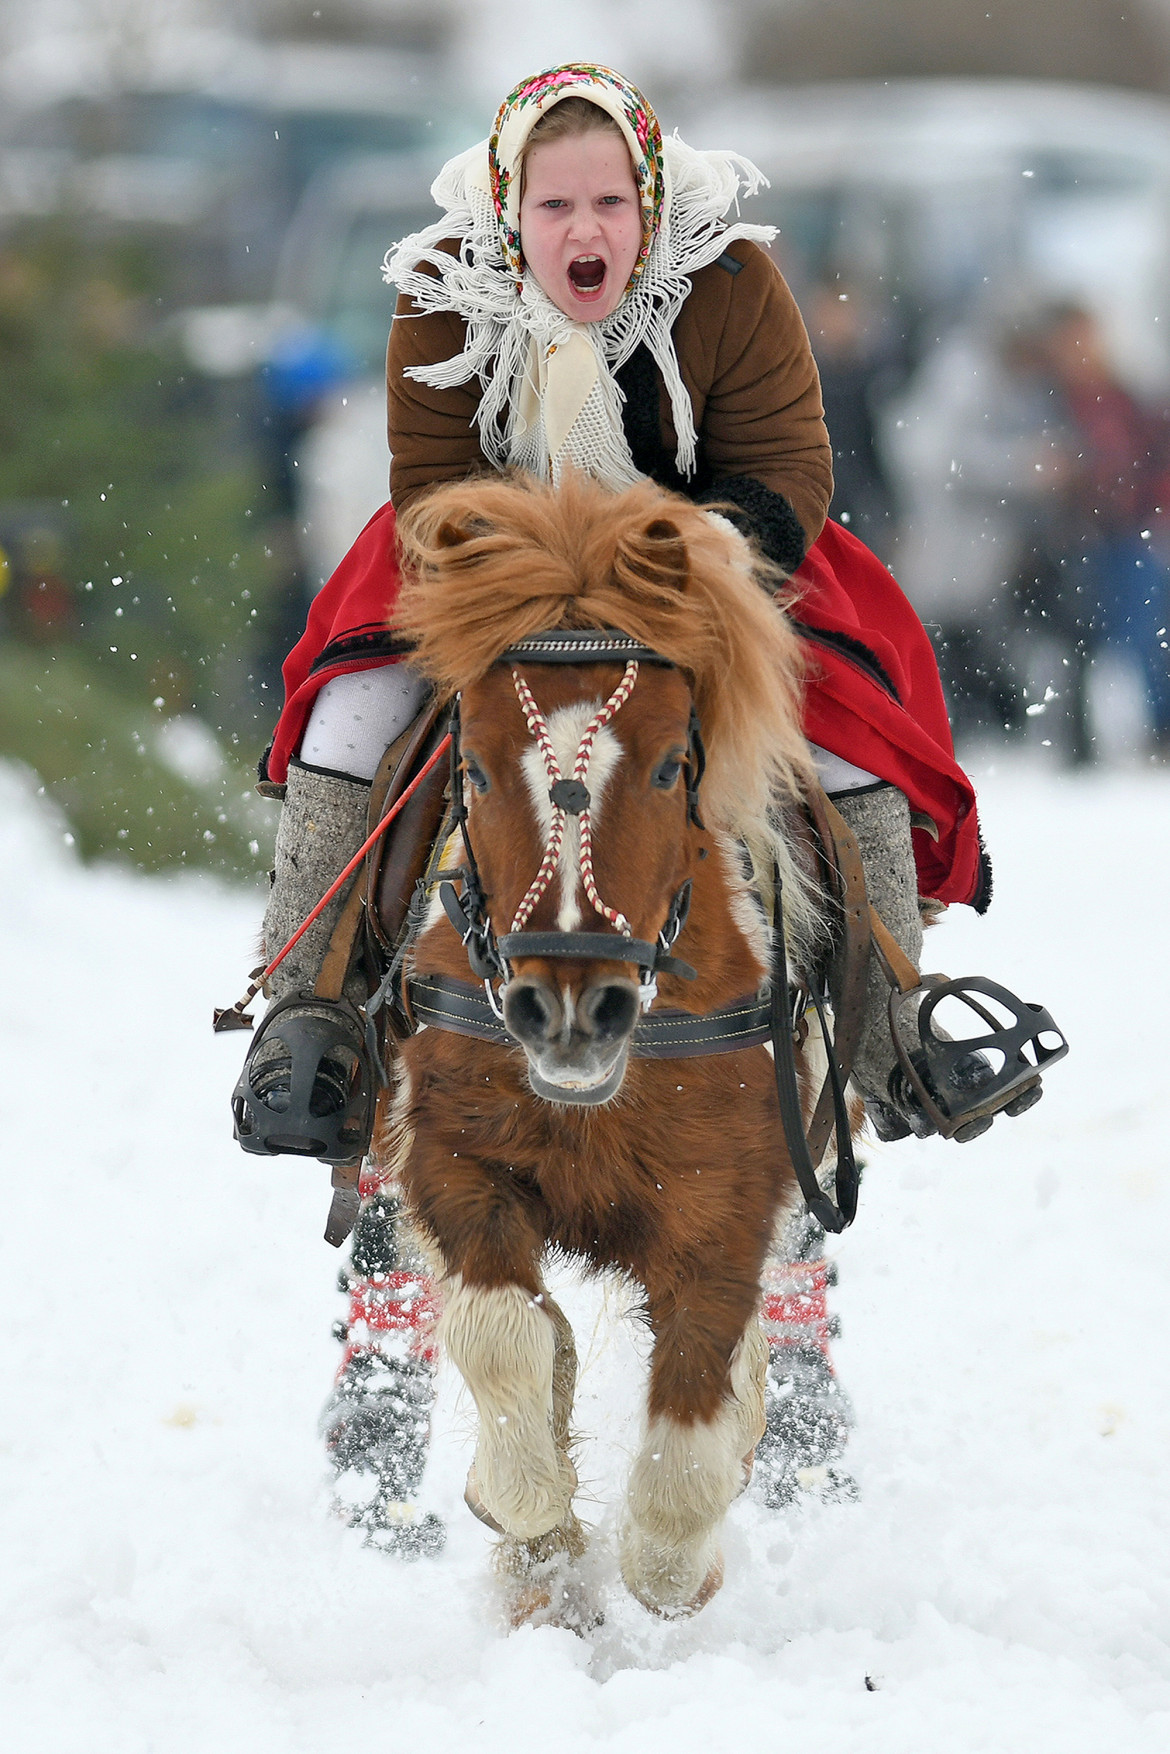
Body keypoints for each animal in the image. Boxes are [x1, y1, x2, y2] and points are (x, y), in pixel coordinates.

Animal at [380, 470, 838, 1613]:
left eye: (675, 766)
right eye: (476, 769)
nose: (571, 1009)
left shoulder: (729, 1209)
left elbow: (678, 1489)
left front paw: (678, 1556)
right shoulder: (453, 1158)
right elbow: (505, 1334)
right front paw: (531, 1524)